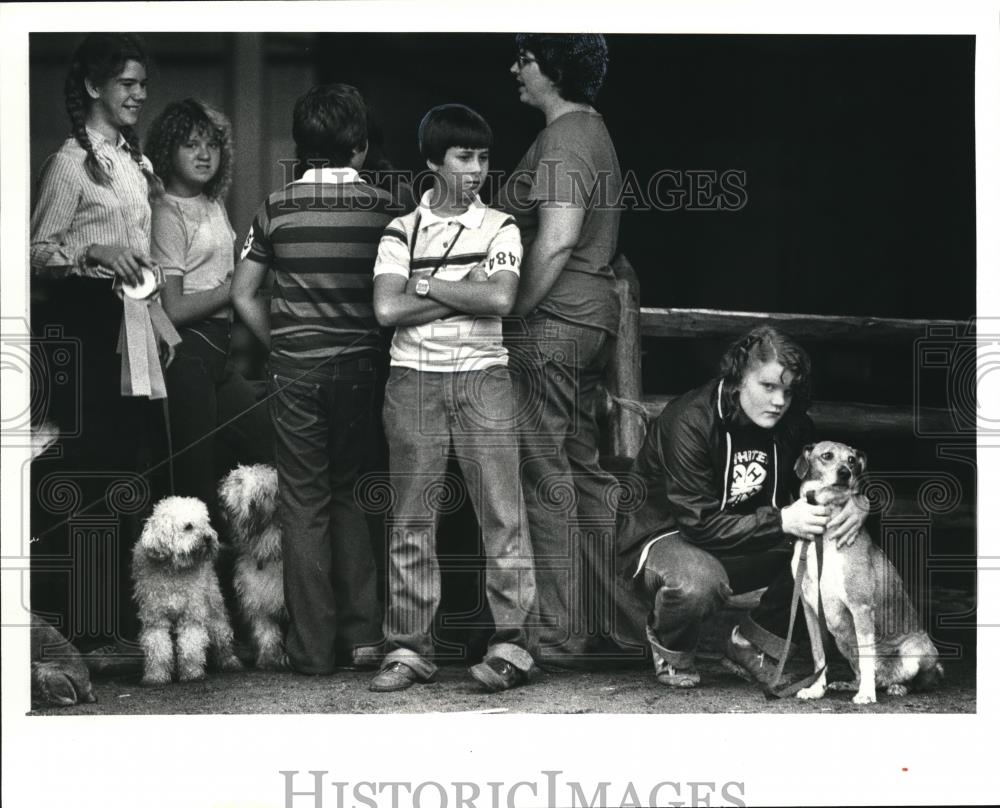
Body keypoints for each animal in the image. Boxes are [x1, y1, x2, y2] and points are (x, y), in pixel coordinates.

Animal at [132, 496, 243, 684]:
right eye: (189, 526)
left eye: (206, 522)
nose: (209, 538)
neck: (174, 572)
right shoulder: (155, 619)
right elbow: (157, 648)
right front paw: (156, 676)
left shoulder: (191, 615)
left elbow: (190, 646)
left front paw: (192, 673)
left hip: (214, 610)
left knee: (222, 637)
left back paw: (229, 661)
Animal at [216, 464, 286, 672]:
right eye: (234, 478)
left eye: (239, 482)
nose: (220, 498)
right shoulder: (258, 602)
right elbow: (267, 633)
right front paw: (268, 659)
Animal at [792, 446, 940, 704]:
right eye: (827, 455)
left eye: (852, 460)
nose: (845, 473)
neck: (825, 530)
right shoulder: (809, 609)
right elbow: (819, 655)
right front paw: (816, 689)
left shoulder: (860, 608)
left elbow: (867, 656)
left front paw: (866, 695)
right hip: (843, 643)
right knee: (862, 671)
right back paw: (849, 684)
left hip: (917, 649)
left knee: (916, 681)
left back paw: (897, 687)